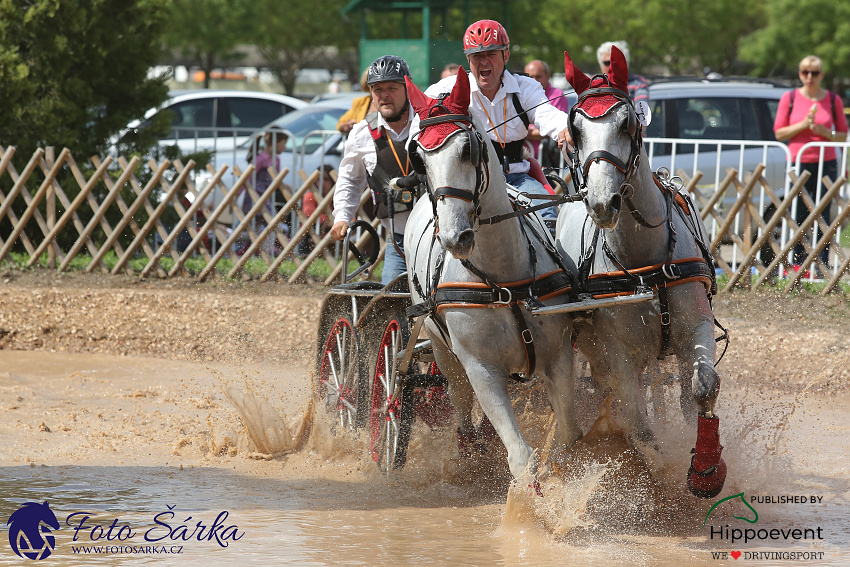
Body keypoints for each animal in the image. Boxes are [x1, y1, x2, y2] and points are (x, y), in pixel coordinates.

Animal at [400, 70, 580, 488]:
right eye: (420, 157)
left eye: (467, 148)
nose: (455, 237)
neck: (504, 279)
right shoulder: (481, 370)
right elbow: (522, 456)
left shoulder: (559, 358)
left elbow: (568, 438)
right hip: (442, 352)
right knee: (460, 407)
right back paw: (469, 453)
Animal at [552, 48, 724, 500]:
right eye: (575, 130)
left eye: (626, 122)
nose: (602, 202)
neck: (646, 264)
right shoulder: (619, 354)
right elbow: (639, 425)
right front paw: (658, 484)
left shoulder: (696, 326)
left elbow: (704, 385)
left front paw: (706, 470)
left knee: (681, 392)